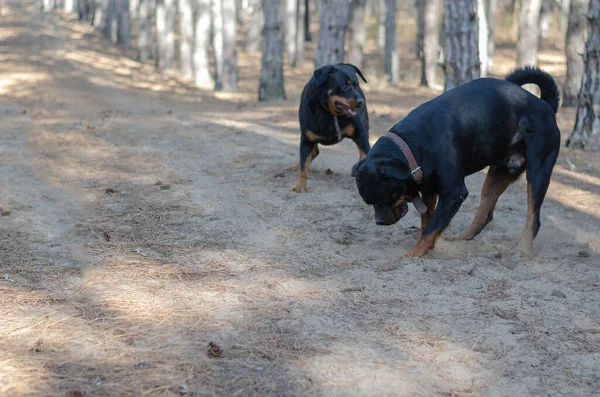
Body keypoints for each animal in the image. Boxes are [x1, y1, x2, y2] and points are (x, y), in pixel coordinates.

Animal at [292, 63, 370, 192]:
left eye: (357, 85)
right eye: (344, 86)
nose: (361, 101)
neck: (329, 113)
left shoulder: (361, 135)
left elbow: (366, 155)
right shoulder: (306, 139)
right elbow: (303, 165)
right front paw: (299, 186)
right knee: (312, 154)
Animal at [352, 66, 564, 256]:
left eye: (385, 199)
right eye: (369, 202)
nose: (379, 221)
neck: (413, 147)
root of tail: (546, 105)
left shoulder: (454, 193)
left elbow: (431, 228)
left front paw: (412, 255)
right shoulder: (429, 190)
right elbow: (427, 223)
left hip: (538, 174)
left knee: (533, 219)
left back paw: (523, 250)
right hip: (498, 174)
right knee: (485, 214)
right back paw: (461, 241)